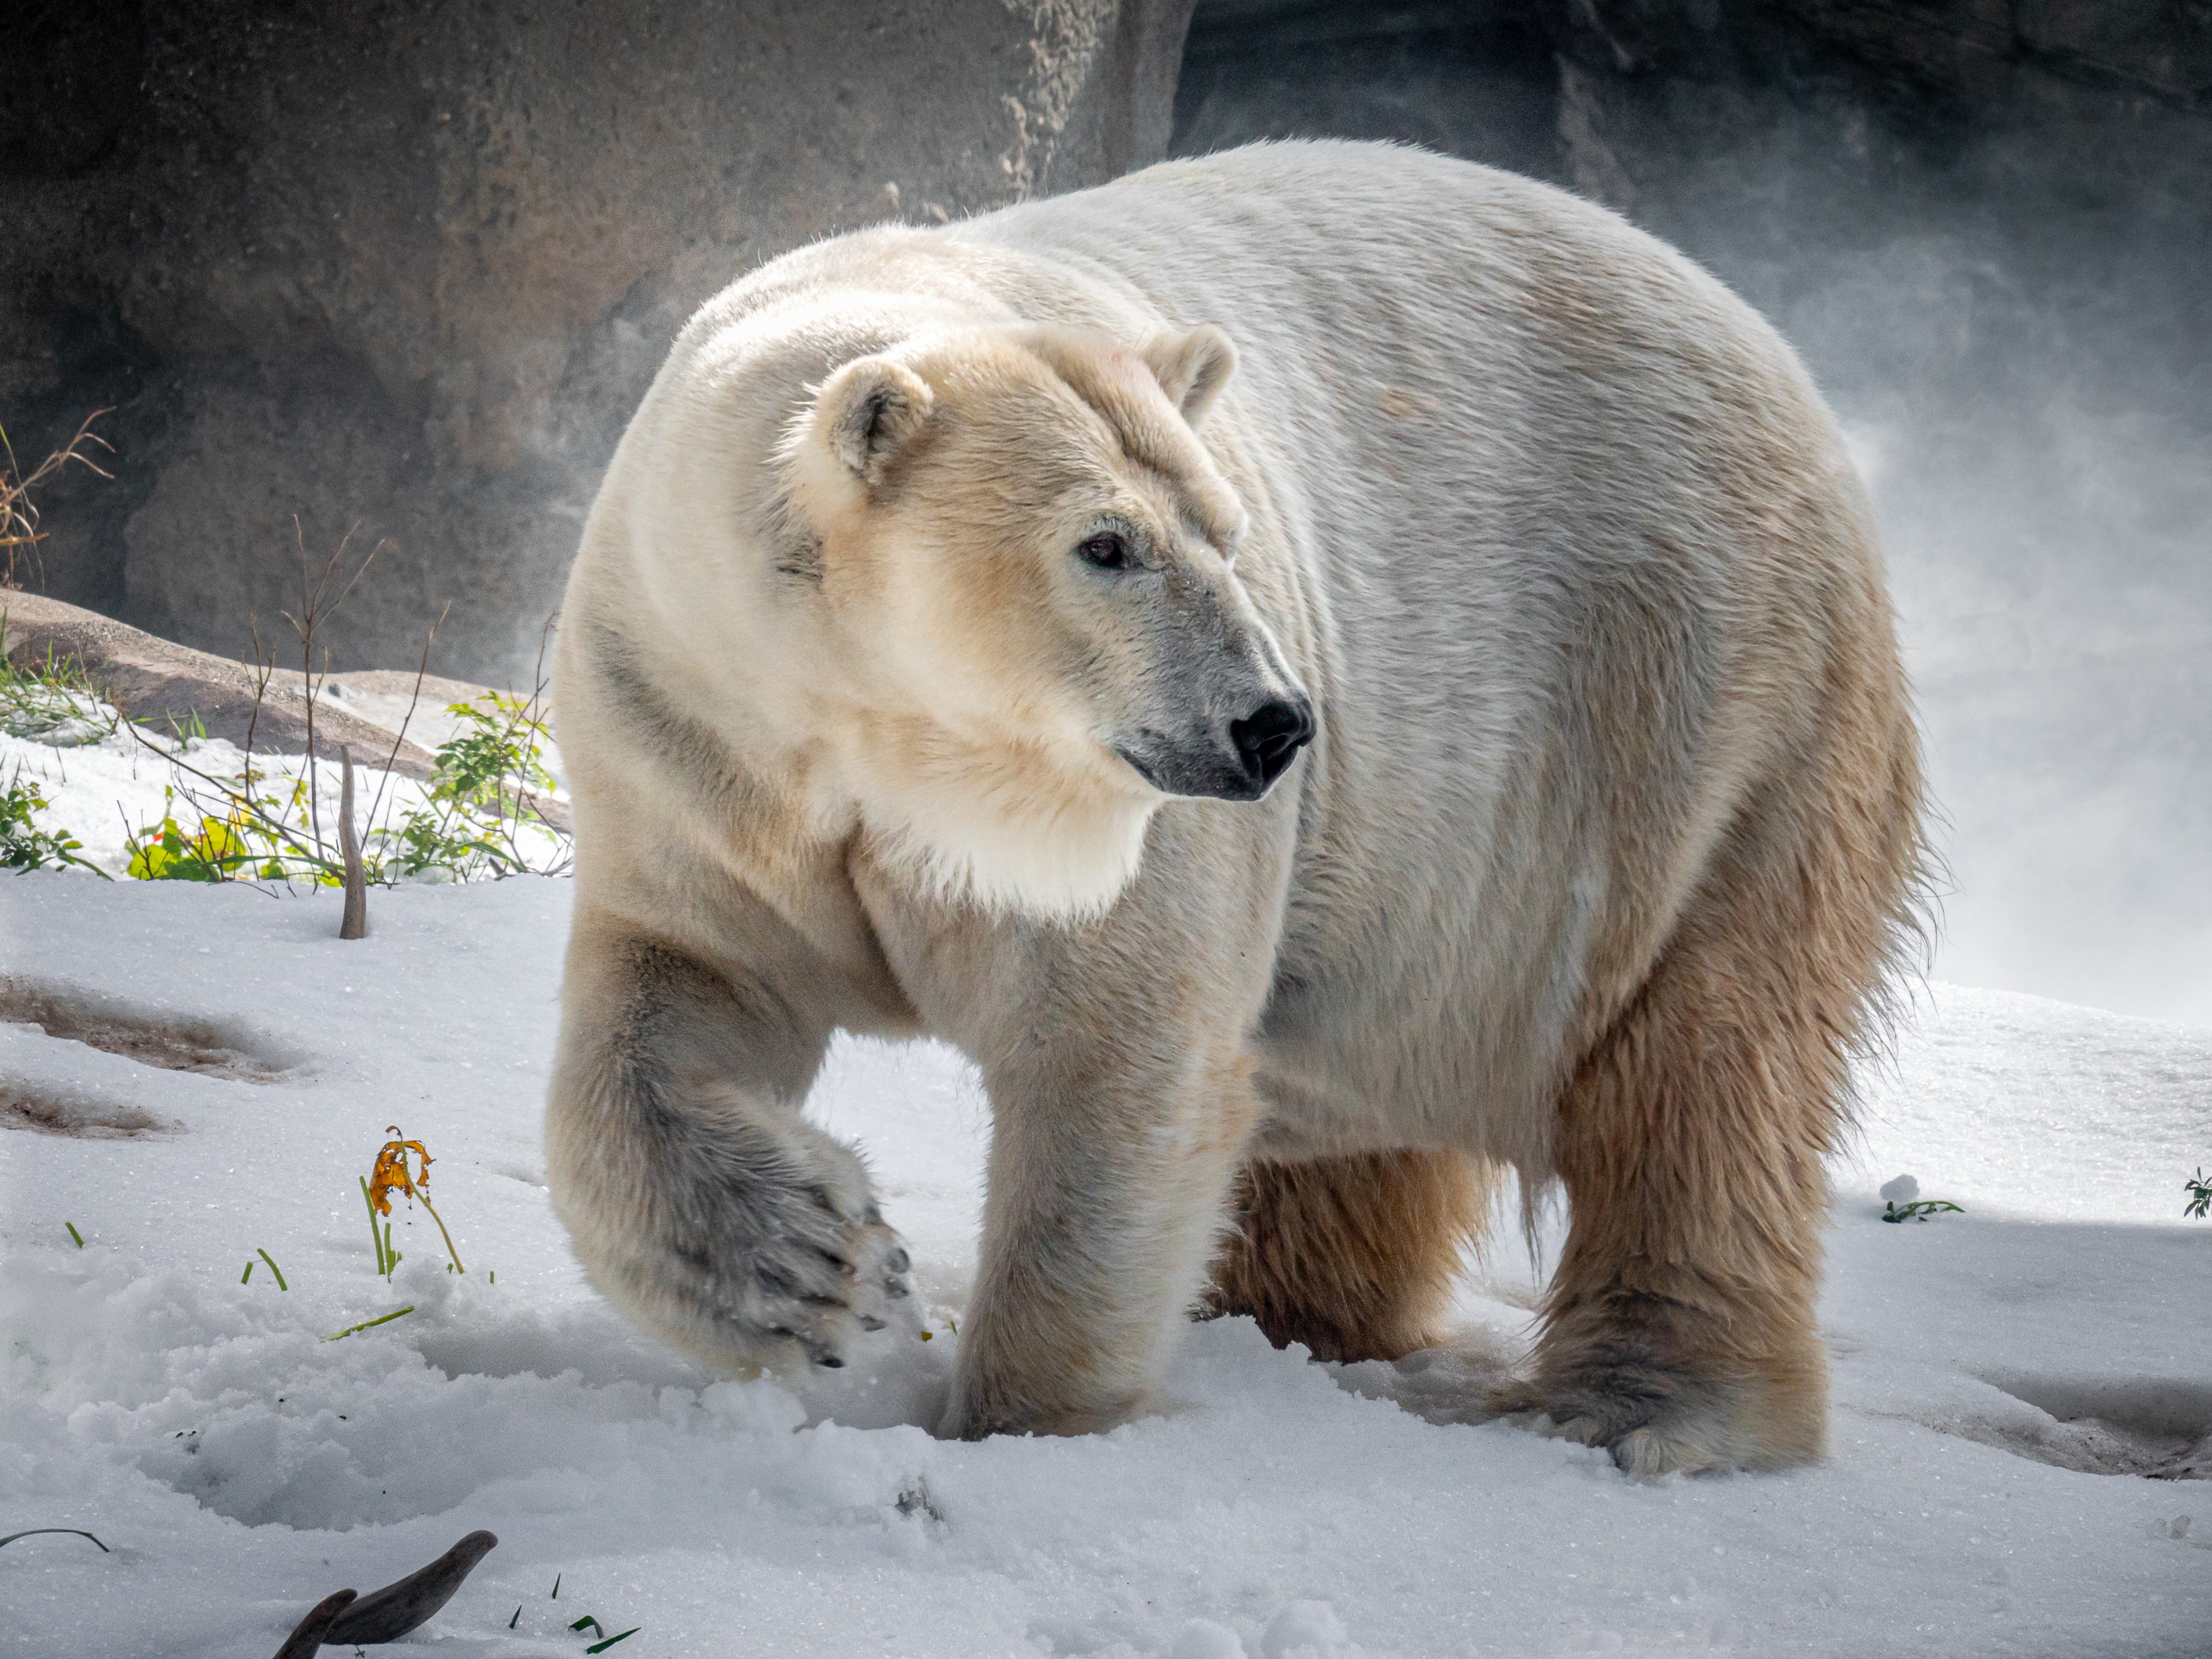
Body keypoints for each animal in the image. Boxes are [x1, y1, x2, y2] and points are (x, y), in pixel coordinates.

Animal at [544, 136, 1929, 1478]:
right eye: (1105, 544)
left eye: (1225, 528)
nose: (1274, 722)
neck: (897, 757)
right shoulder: (701, 745)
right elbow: (682, 994)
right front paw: (811, 1270)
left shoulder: (1125, 840)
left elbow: (1118, 1071)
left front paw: (1021, 1431)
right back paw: (1288, 1312)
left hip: (1688, 719)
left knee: (1705, 1062)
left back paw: (1649, 1410)